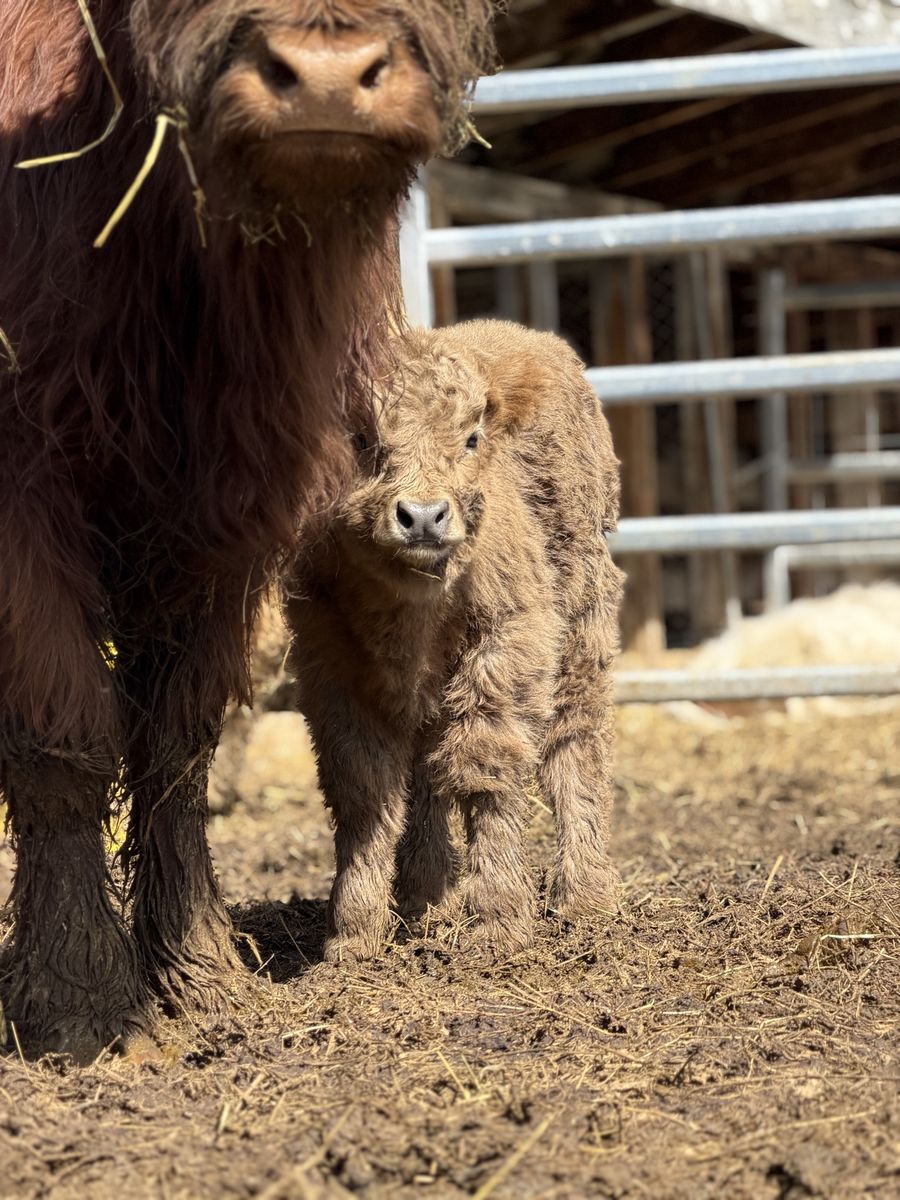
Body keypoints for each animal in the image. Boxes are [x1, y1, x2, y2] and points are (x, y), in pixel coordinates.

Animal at [0, 0, 497, 1061]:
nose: (324, 75)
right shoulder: (21, 495)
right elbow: (63, 737)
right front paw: (78, 997)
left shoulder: (232, 518)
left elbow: (178, 740)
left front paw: (198, 970)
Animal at [286, 321, 624, 961]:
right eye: (361, 439)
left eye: (470, 438)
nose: (422, 516)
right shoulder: (332, 670)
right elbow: (363, 790)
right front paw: (354, 932)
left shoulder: (510, 643)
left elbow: (487, 769)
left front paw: (498, 921)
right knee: (426, 774)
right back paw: (427, 898)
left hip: (581, 626)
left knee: (574, 744)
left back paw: (585, 896)